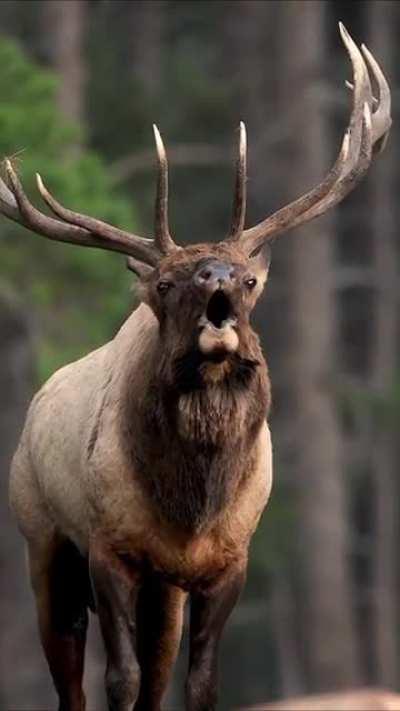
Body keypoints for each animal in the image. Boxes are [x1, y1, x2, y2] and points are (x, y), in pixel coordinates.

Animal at [3, 24, 391, 711]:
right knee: (70, 677)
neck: (192, 508)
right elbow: (120, 679)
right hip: (41, 539)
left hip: (164, 591)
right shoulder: (108, 546)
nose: (216, 282)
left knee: (156, 673)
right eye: (165, 282)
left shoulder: (227, 561)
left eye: (249, 279)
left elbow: (200, 682)